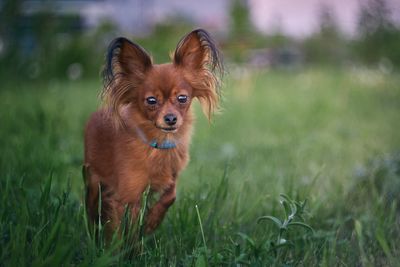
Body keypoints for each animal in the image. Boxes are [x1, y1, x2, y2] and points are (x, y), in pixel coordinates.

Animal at [83, 28, 223, 236]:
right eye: (151, 101)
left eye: (182, 98)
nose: (171, 118)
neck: (158, 144)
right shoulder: (127, 197)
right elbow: (126, 230)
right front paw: (123, 245)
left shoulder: (170, 179)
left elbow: (170, 196)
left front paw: (151, 222)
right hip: (93, 183)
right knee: (93, 210)